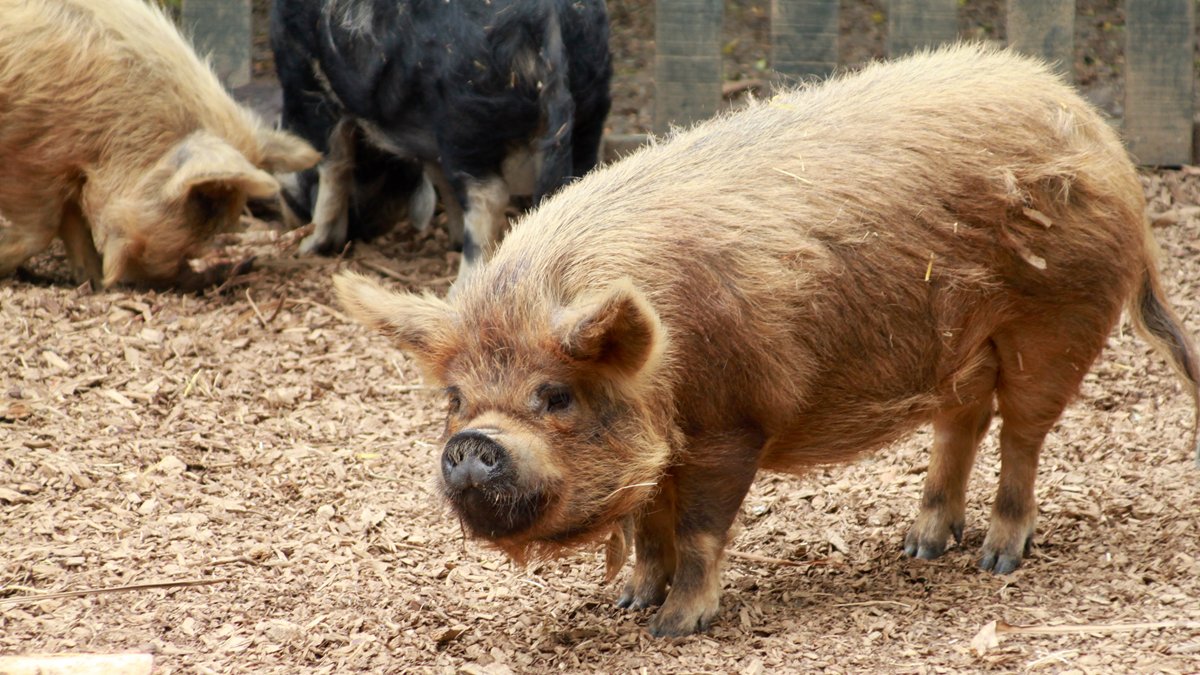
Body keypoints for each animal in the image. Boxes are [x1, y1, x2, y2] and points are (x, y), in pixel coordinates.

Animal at [0, 0, 320, 288]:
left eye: (237, 204)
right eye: (205, 200)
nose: (244, 264)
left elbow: (73, 224)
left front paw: (96, 283)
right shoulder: (28, 159)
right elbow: (43, 228)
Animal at [270, 0, 613, 286]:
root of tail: (548, 16)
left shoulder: (304, 77)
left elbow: (331, 164)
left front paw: (309, 247)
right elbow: (439, 179)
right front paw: (453, 241)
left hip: (464, 117)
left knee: (489, 195)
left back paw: (461, 287)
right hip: (590, 103)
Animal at [333, 44, 1200, 636]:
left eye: (554, 395)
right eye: (455, 398)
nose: (471, 443)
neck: (664, 374)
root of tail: (1103, 135)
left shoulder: (731, 424)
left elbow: (697, 529)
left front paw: (672, 628)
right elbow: (648, 528)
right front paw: (625, 601)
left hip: (1056, 321)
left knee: (1022, 432)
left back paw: (996, 556)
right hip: (960, 344)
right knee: (961, 424)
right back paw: (921, 546)